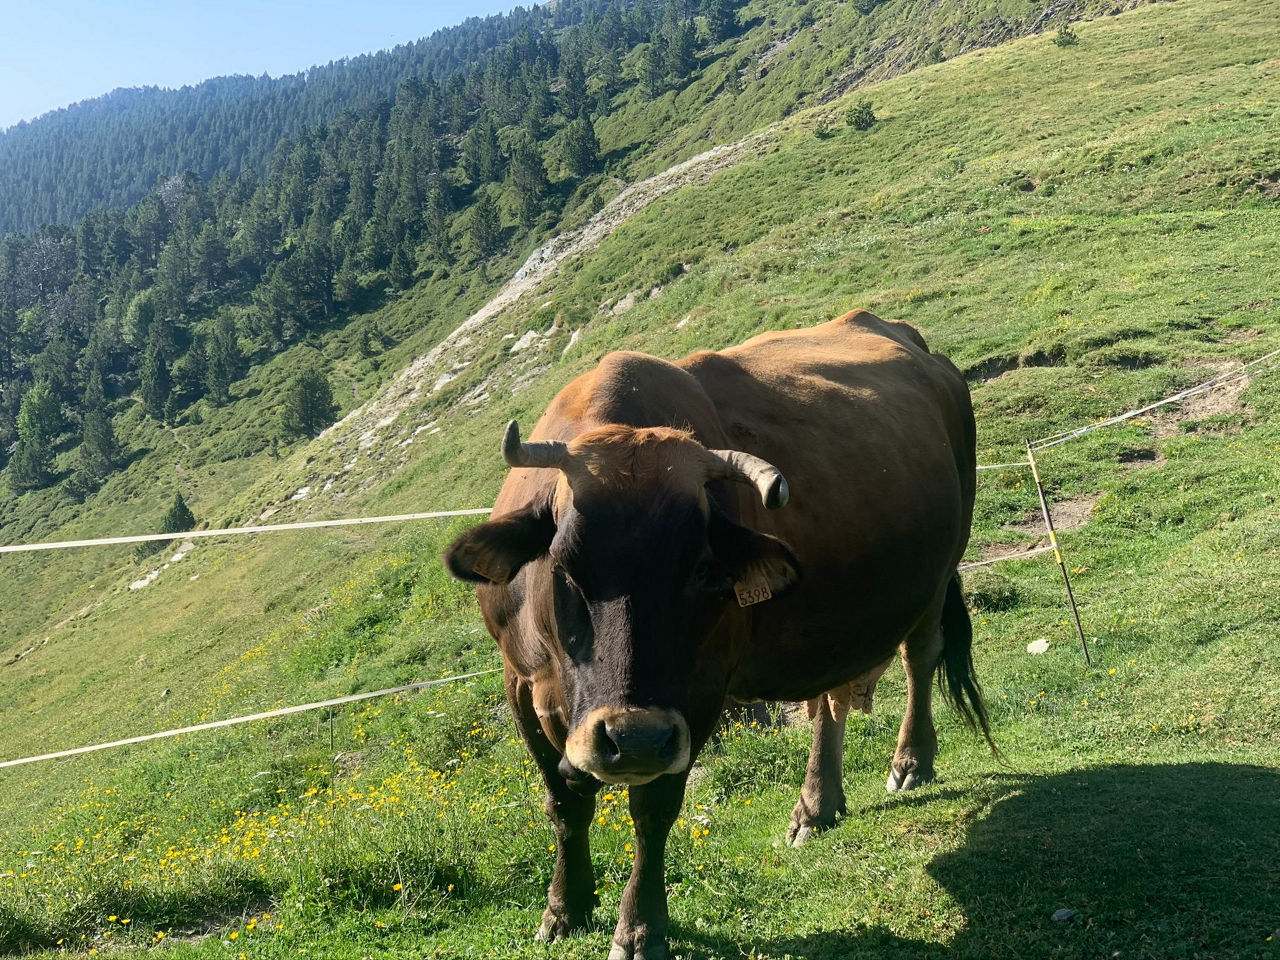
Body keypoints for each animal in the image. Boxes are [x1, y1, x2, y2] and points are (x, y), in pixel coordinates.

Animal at [443, 309, 992, 959]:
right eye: (564, 566)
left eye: (704, 571)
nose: (632, 740)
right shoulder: (521, 684)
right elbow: (563, 803)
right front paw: (565, 907)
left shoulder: (698, 695)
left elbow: (654, 810)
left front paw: (639, 927)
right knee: (829, 702)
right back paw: (816, 805)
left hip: (939, 571)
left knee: (920, 659)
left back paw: (910, 762)